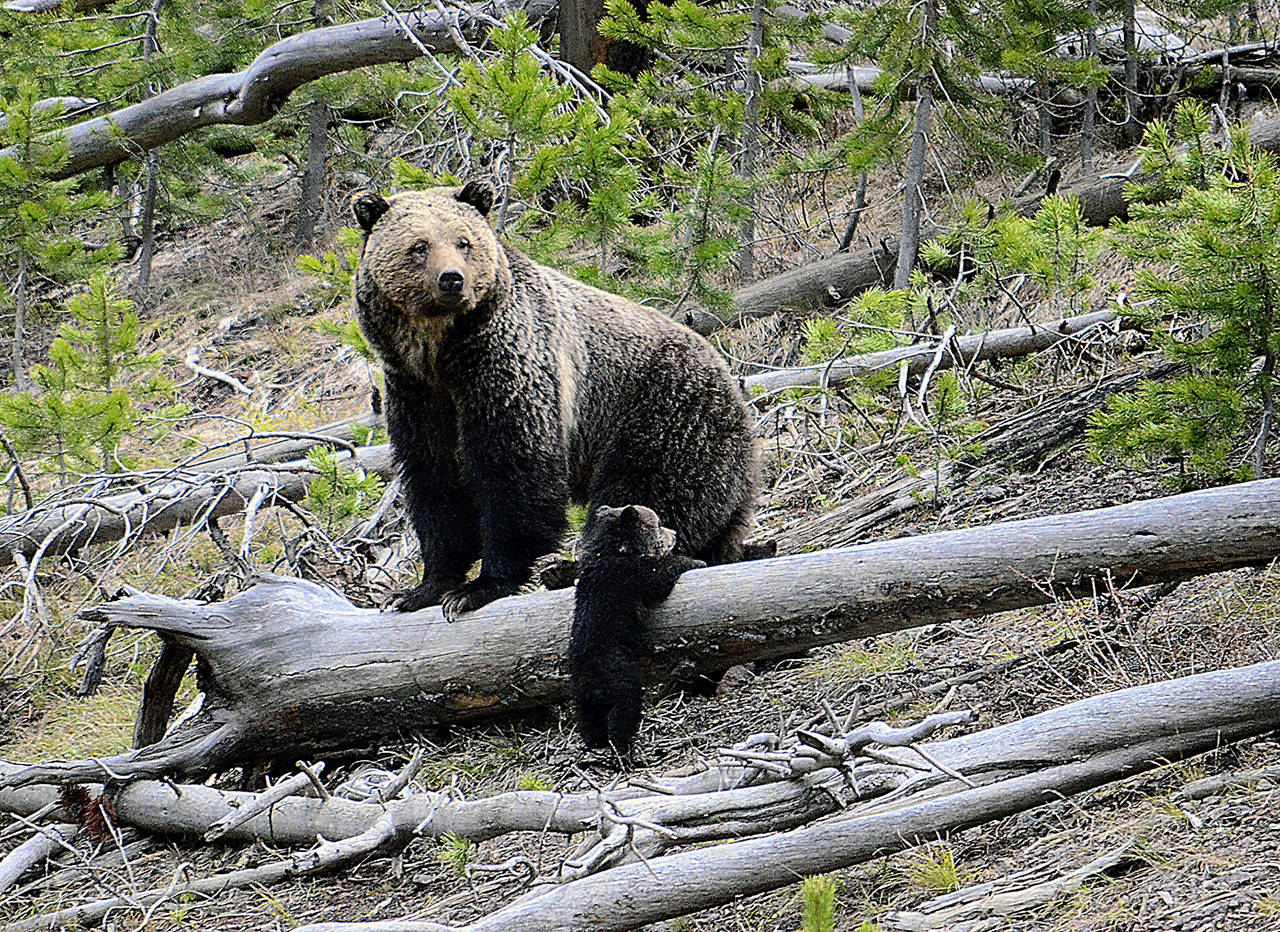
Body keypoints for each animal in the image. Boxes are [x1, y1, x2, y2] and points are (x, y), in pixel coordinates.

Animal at [348, 180, 757, 619]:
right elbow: (435, 483)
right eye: (419, 245)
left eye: (463, 241)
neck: (440, 351)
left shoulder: (507, 366)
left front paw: (479, 586)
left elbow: (514, 470)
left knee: (648, 496)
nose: (452, 279)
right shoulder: (416, 393)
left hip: (664, 413)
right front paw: (420, 589)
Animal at [576, 501, 706, 747]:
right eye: (658, 524)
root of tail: (592, 686)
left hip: (582, 698)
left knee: (588, 723)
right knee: (624, 710)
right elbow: (659, 578)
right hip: (619, 679)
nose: (674, 533)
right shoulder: (632, 575)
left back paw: (595, 742)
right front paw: (695, 560)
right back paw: (623, 745)